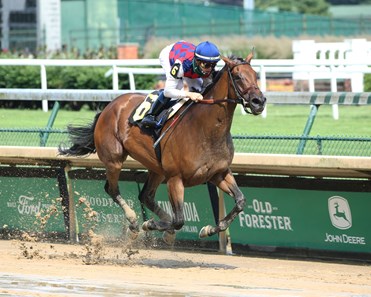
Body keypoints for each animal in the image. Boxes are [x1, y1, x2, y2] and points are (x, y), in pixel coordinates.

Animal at [59, 53, 266, 243]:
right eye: (238, 76)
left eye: (255, 75)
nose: (259, 101)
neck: (206, 131)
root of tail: (110, 106)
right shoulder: (175, 178)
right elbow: (179, 219)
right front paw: (150, 224)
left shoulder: (219, 173)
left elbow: (240, 201)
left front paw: (208, 229)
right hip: (114, 160)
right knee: (112, 189)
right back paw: (134, 223)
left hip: (156, 168)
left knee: (146, 196)